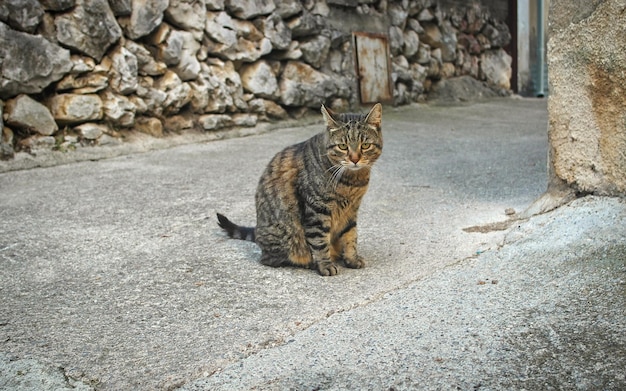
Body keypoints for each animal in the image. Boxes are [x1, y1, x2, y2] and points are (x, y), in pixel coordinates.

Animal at [217, 103, 382, 276]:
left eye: (365, 145)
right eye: (343, 146)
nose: (355, 159)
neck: (353, 181)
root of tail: (258, 229)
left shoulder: (351, 210)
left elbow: (350, 236)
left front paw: (351, 258)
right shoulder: (317, 211)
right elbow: (320, 242)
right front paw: (325, 264)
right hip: (285, 236)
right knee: (271, 259)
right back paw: (309, 263)